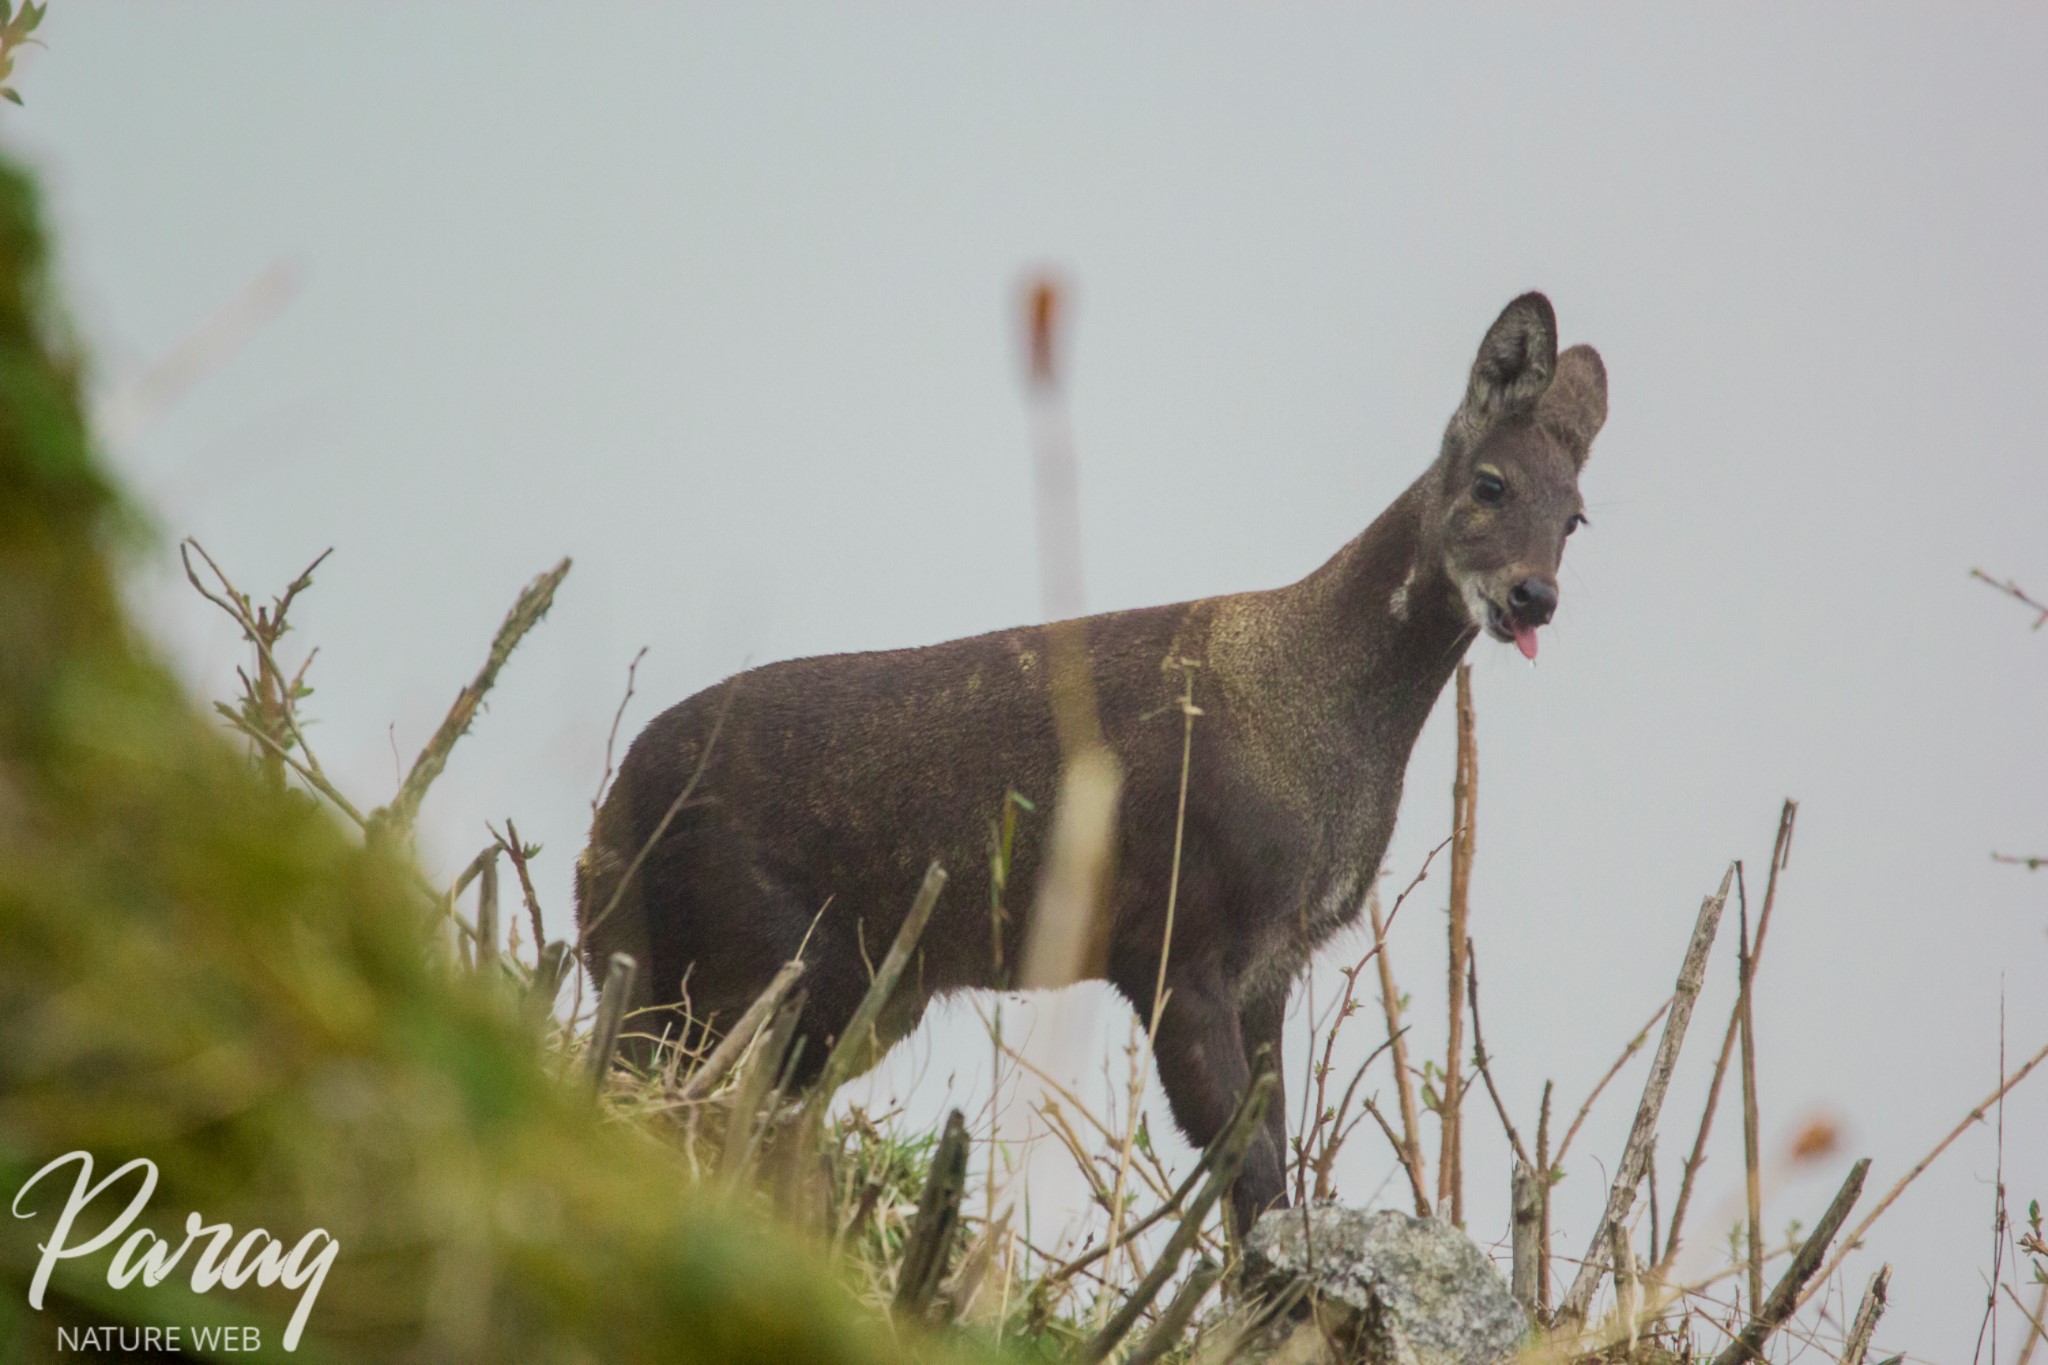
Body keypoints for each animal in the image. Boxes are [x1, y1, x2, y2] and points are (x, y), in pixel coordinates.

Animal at [569, 294, 1605, 1236]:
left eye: (1577, 517)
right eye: (1491, 483)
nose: (1534, 596)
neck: (1317, 728)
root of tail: (599, 841)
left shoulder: (1272, 963)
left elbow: (1263, 1171)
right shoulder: (1173, 934)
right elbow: (1250, 1169)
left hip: (854, 989)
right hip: (749, 960)